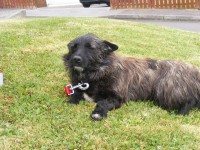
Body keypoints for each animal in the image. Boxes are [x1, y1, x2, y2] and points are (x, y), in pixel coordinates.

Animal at [63, 33, 200, 120]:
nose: (75, 59)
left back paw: (182, 112)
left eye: (90, 48)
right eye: (73, 47)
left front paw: (98, 113)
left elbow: (103, 103)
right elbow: (75, 96)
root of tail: (195, 71)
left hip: (165, 88)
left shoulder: (117, 98)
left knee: (190, 100)